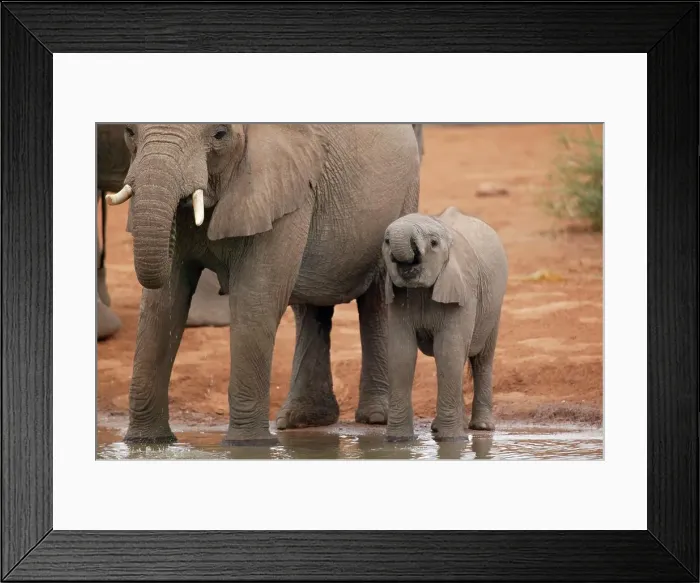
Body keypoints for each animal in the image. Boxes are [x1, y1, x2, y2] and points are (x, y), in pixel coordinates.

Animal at [381, 206, 509, 442]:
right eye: (386, 241)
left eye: (433, 243)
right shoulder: (397, 295)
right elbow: (402, 353)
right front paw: (398, 441)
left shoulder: (463, 290)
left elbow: (448, 350)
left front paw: (451, 441)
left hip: (494, 305)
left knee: (482, 358)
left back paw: (482, 427)